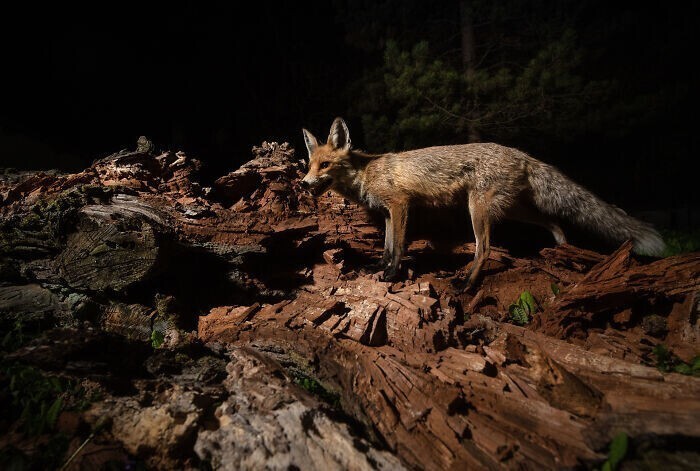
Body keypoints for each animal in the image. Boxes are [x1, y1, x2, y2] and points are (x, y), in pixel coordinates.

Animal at [298, 118, 664, 288]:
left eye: (325, 165)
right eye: (309, 164)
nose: (302, 183)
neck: (367, 172)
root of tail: (521, 153)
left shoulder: (400, 205)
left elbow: (399, 247)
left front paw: (391, 275)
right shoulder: (388, 214)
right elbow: (387, 246)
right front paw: (379, 268)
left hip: (478, 210)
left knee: (484, 249)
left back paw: (467, 283)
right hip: (512, 209)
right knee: (553, 221)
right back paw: (562, 248)